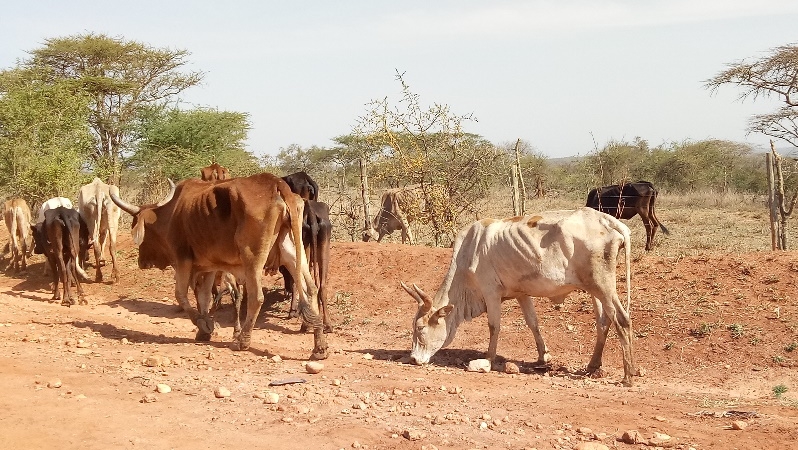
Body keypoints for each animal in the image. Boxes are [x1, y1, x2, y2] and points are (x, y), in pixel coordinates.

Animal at [110, 172, 328, 358]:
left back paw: (243, 341)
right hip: (291, 250)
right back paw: (320, 346)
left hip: (252, 258)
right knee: (311, 289)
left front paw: (202, 324)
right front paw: (204, 330)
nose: (142, 261)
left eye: (137, 227)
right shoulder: (209, 266)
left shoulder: (183, 261)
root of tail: (276, 183)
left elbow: (181, 295)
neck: (172, 212)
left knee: (256, 297)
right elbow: (204, 297)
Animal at [406, 207, 636, 386]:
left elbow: (494, 326)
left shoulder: (491, 291)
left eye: (420, 328)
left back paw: (628, 376)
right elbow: (533, 323)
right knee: (604, 322)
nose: (414, 359)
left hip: (603, 285)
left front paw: (487, 361)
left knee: (622, 319)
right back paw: (593, 365)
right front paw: (543, 357)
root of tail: (608, 220)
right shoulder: (521, 294)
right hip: (593, 289)